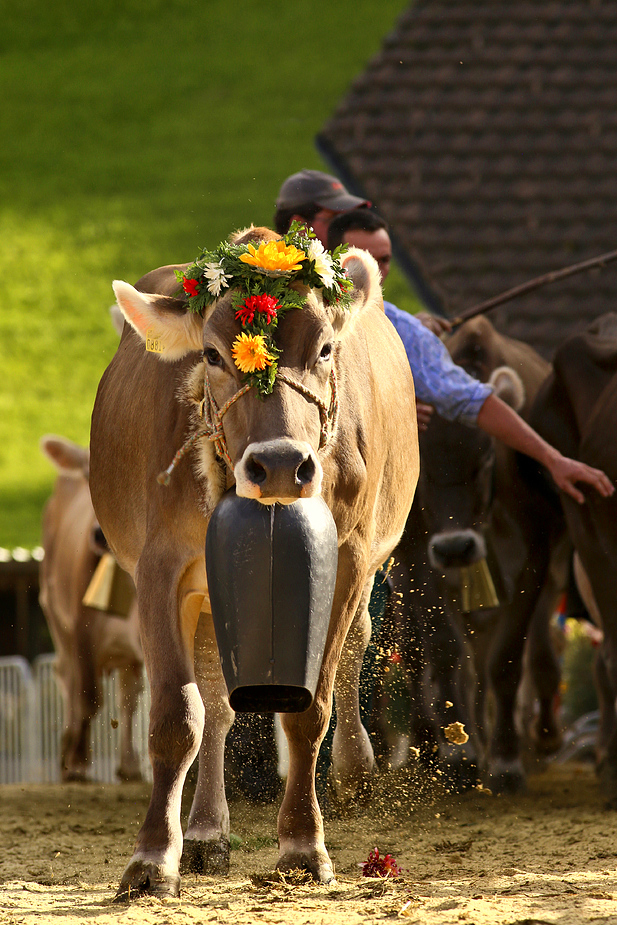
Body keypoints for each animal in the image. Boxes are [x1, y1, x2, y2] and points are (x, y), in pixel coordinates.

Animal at [38, 436, 143, 784]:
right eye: (88, 475)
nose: (100, 535)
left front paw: (132, 765)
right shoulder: (82, 630)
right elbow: (89, 697)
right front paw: (79, 763)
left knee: (127, 694)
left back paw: (128, 763)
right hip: (55, 616)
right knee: (67, 678)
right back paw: (66, 753)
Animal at [89, 227, 416, 900]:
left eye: (324, 348)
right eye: (212, 356)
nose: (282, 465)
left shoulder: (346, 559)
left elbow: (311, 707)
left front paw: (303, 845)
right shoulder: (161, 569)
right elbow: (177, 715)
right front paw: (152, 857)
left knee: (354, 646)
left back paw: (355, 768)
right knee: (216, 703)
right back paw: (206, 833)